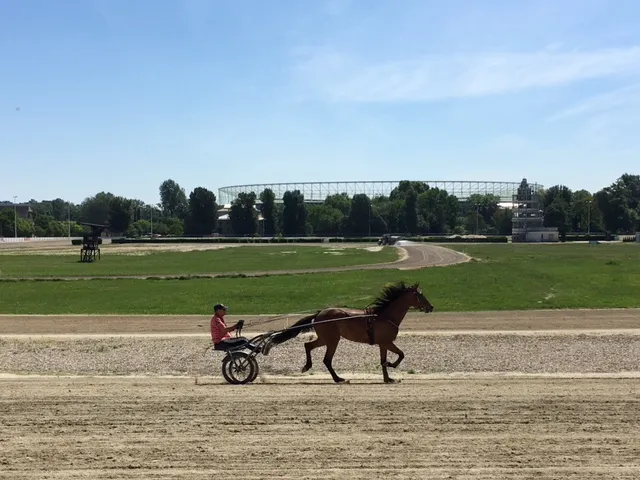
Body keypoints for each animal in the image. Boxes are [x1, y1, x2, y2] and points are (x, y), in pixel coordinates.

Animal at [262, 281, 434, 383]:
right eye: (420, 295)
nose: (430, 307)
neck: (384, 316)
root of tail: (319, 313)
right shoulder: (387, 341)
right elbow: (401, 354)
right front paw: (392, 364)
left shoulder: (382, 344)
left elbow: (383, 360)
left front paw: (388, 378)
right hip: (333, 340)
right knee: (327, 359)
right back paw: (338, 378)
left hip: (326, 338)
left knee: (308, 345)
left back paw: (307, 366)